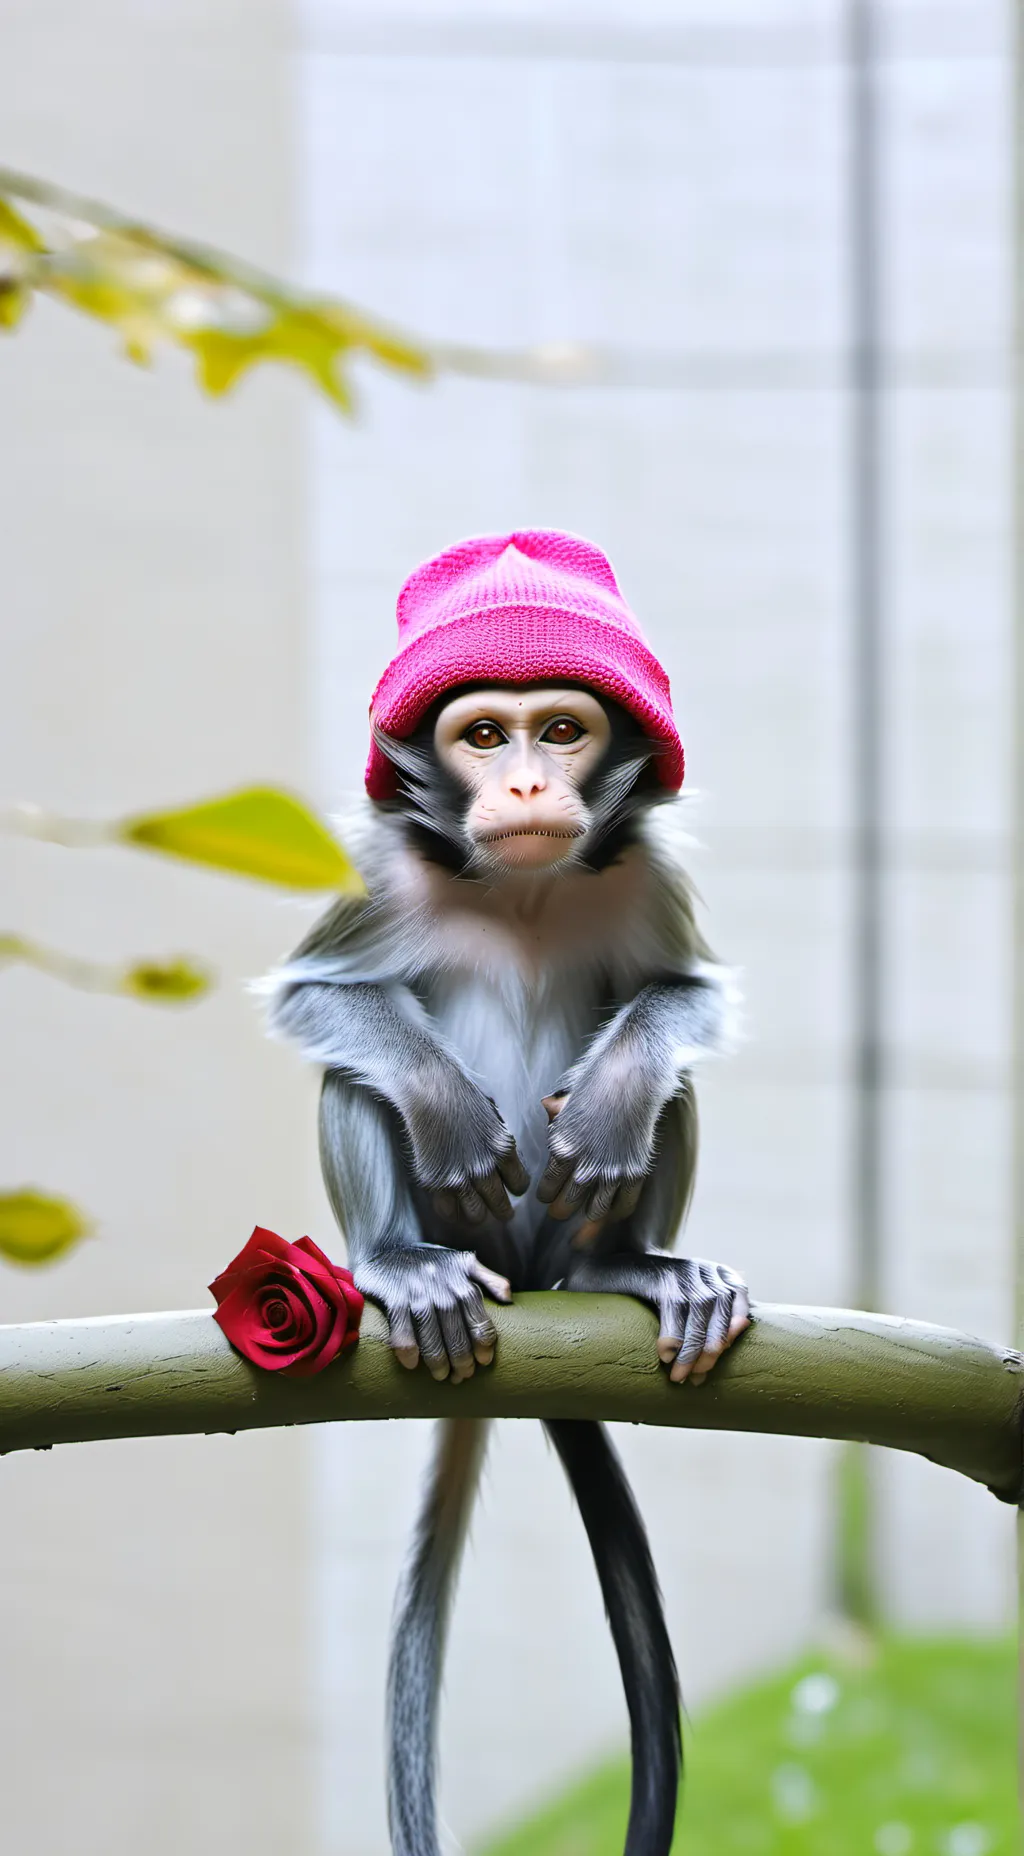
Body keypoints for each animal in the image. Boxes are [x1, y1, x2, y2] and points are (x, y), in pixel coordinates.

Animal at [264, 531, 750, 1856]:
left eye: (562, 730)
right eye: (485, 735)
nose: (530, 785)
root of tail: (528, 1276)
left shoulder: (650, 868)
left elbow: (683, 997)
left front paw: (614, 1096)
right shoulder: (376, 870)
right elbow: (317, 996)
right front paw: (443, 1107)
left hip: (562, 1232)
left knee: (664, 1093)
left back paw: (627, 1262)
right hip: (451, 1230)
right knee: (352, 1074)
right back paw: (401, 1264)